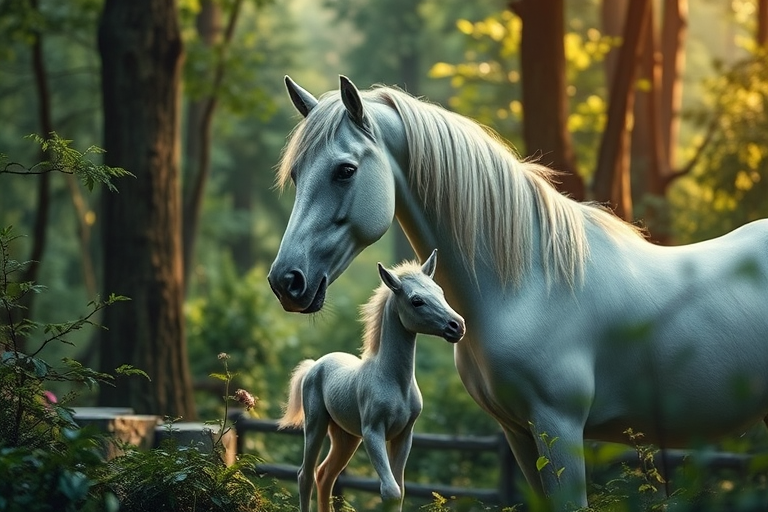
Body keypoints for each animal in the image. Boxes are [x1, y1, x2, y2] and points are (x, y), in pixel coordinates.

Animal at [278, 249, 465, 512]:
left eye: (440, 291)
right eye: (417, 301)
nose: (457, 326)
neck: (394, 381)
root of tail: (315, 365)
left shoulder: (404, 435)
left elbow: (400, 490)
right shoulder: (373, 432)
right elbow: (391, 491)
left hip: (346, 436)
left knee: (325, 475)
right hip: (316, 424)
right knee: (305, 475)